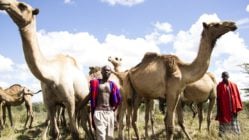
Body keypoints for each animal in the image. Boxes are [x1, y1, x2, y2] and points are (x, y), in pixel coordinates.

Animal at [0, 0, 89, 139]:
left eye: (22, 5)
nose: (4, 3)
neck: (52, 76)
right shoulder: (49, 103)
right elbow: (54, 132)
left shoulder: (69, 100)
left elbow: (75, 132)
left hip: (83, 99)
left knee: (84, 123)